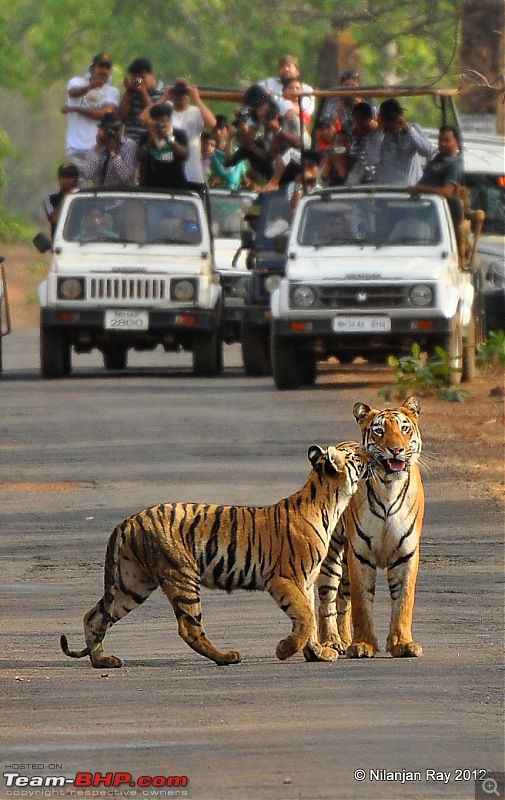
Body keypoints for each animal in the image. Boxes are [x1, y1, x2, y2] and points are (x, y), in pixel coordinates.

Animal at [61, 444, 368, 668]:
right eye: (353, 455)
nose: (369, 454)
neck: (331, 501)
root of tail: (127, 521)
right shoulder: (283, 579)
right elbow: (305, 617)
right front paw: (285, 650)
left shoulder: (304, 581)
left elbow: (310, 618)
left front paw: (317, 653)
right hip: (181, 575)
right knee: (189, 627)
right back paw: (226, 657)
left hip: (132, 583)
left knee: (94, 616)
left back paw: (103, 661)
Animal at [316, 396, 424, 660]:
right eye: (379, 431)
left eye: (404, 428)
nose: (396, 449)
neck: (388, 487)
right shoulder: (360, 554)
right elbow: (362, 603)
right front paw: (363, 645)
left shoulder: (406, 553)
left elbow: (404, 600)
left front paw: (403, 644)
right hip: (332, 553)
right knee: (327, 599)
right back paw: (332, 641)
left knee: (343, 598)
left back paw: (344, 639)